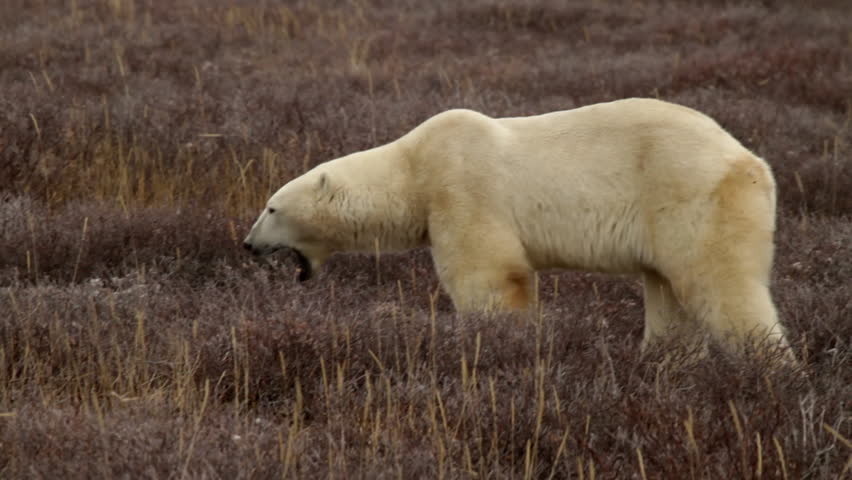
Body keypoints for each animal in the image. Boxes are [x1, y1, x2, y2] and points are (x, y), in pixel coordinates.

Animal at [243, 98, 793, 360]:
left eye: (271, 208)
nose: (247, 244)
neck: (413, 165)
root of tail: (756, 165)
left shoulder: (461, 185)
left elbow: (488, 273)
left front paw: (495, 342)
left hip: (692, 196)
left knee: (719, 283)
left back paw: (768, 367)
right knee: (667, 292)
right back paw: (663, 365)